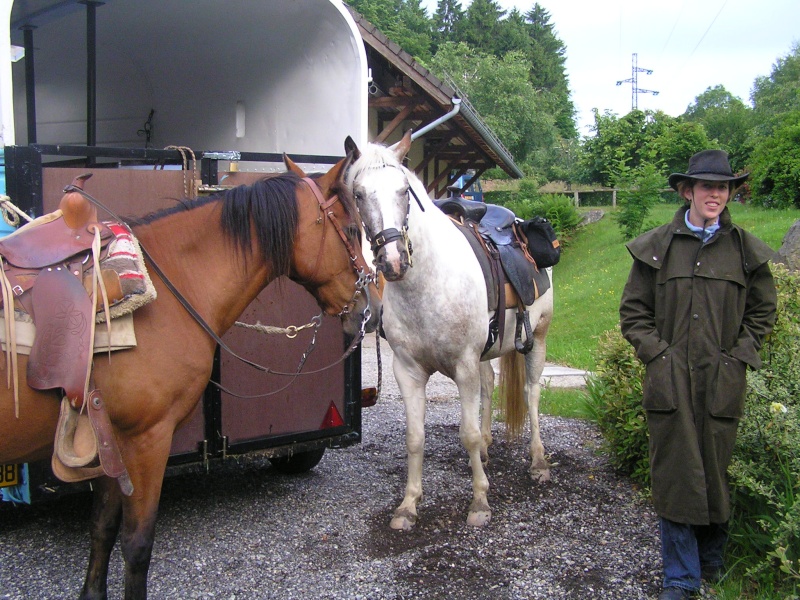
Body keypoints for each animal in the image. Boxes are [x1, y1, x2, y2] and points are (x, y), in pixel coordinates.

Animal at [0, 156, 380, 600]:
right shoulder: (146, 439)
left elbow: (102, 529)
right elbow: (137, 545)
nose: (372, 308)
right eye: (352, 230)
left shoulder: (112, 436)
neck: (168, 287)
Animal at [346, 132, 552, 528]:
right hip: (488, 351)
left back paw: (538, 461)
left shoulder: (463, 366)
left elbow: (466, 434)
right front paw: (408, 504)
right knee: (490, 384)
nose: (392, 261)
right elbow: (415, 437)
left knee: (532, 393)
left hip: (537, 340)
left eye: (404, 191)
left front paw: (480, 502)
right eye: (359, 194)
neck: (428, 283)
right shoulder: (408, 371)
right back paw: (488, 448)